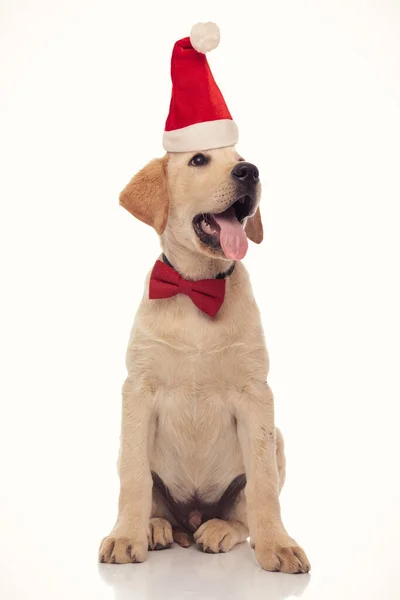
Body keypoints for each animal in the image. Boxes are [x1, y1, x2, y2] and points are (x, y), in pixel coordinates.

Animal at [98, 144, 310, 572]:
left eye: (242, 159)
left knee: (241, 517)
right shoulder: (138, 390)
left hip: (277, 439)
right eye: (198, 160)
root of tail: (192, 517)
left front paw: (278, 545)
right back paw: (155, 529)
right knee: (152, 496)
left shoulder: (256, 394)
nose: (250, 172)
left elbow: (263, 485)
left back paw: (218, 530)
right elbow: (134, 478)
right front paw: (125, 537)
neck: (196, 286)